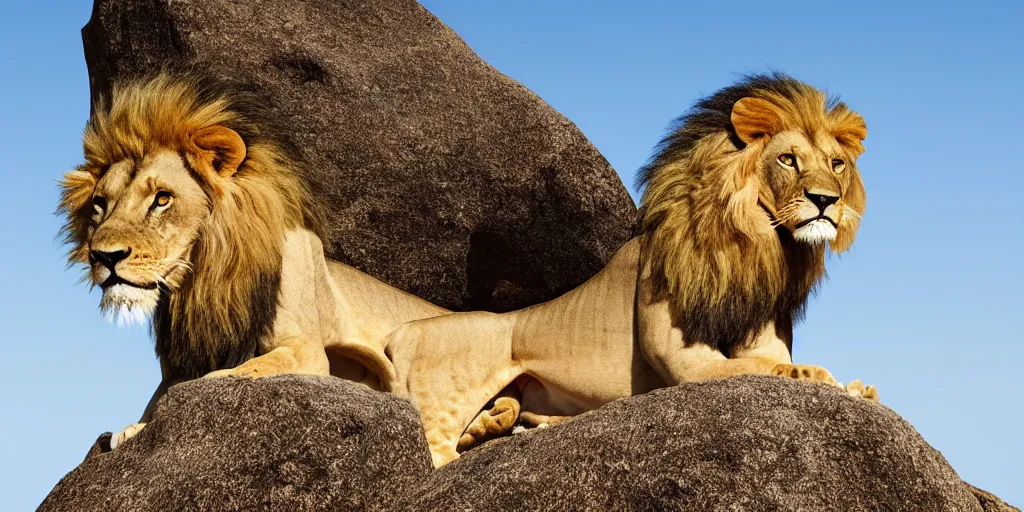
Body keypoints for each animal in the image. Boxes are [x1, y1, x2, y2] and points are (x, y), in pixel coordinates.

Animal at [59, 72, 456, 448]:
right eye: (100, 204)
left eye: (162, 198)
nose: (103, 256)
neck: (202, 281)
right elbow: (160, 397)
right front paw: (132, 427)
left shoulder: (305, 349)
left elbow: (233, 374)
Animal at [385, 73, 880, 468]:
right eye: (788, 159)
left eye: (836, 164)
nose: (825, 201)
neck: (756, 247)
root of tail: (400, 333)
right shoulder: (684, 359)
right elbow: (765, 368)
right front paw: (823, 378)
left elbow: (769, 359)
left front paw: (861, 388)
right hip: (454, 386)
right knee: (438, 456)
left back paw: (500, 427)